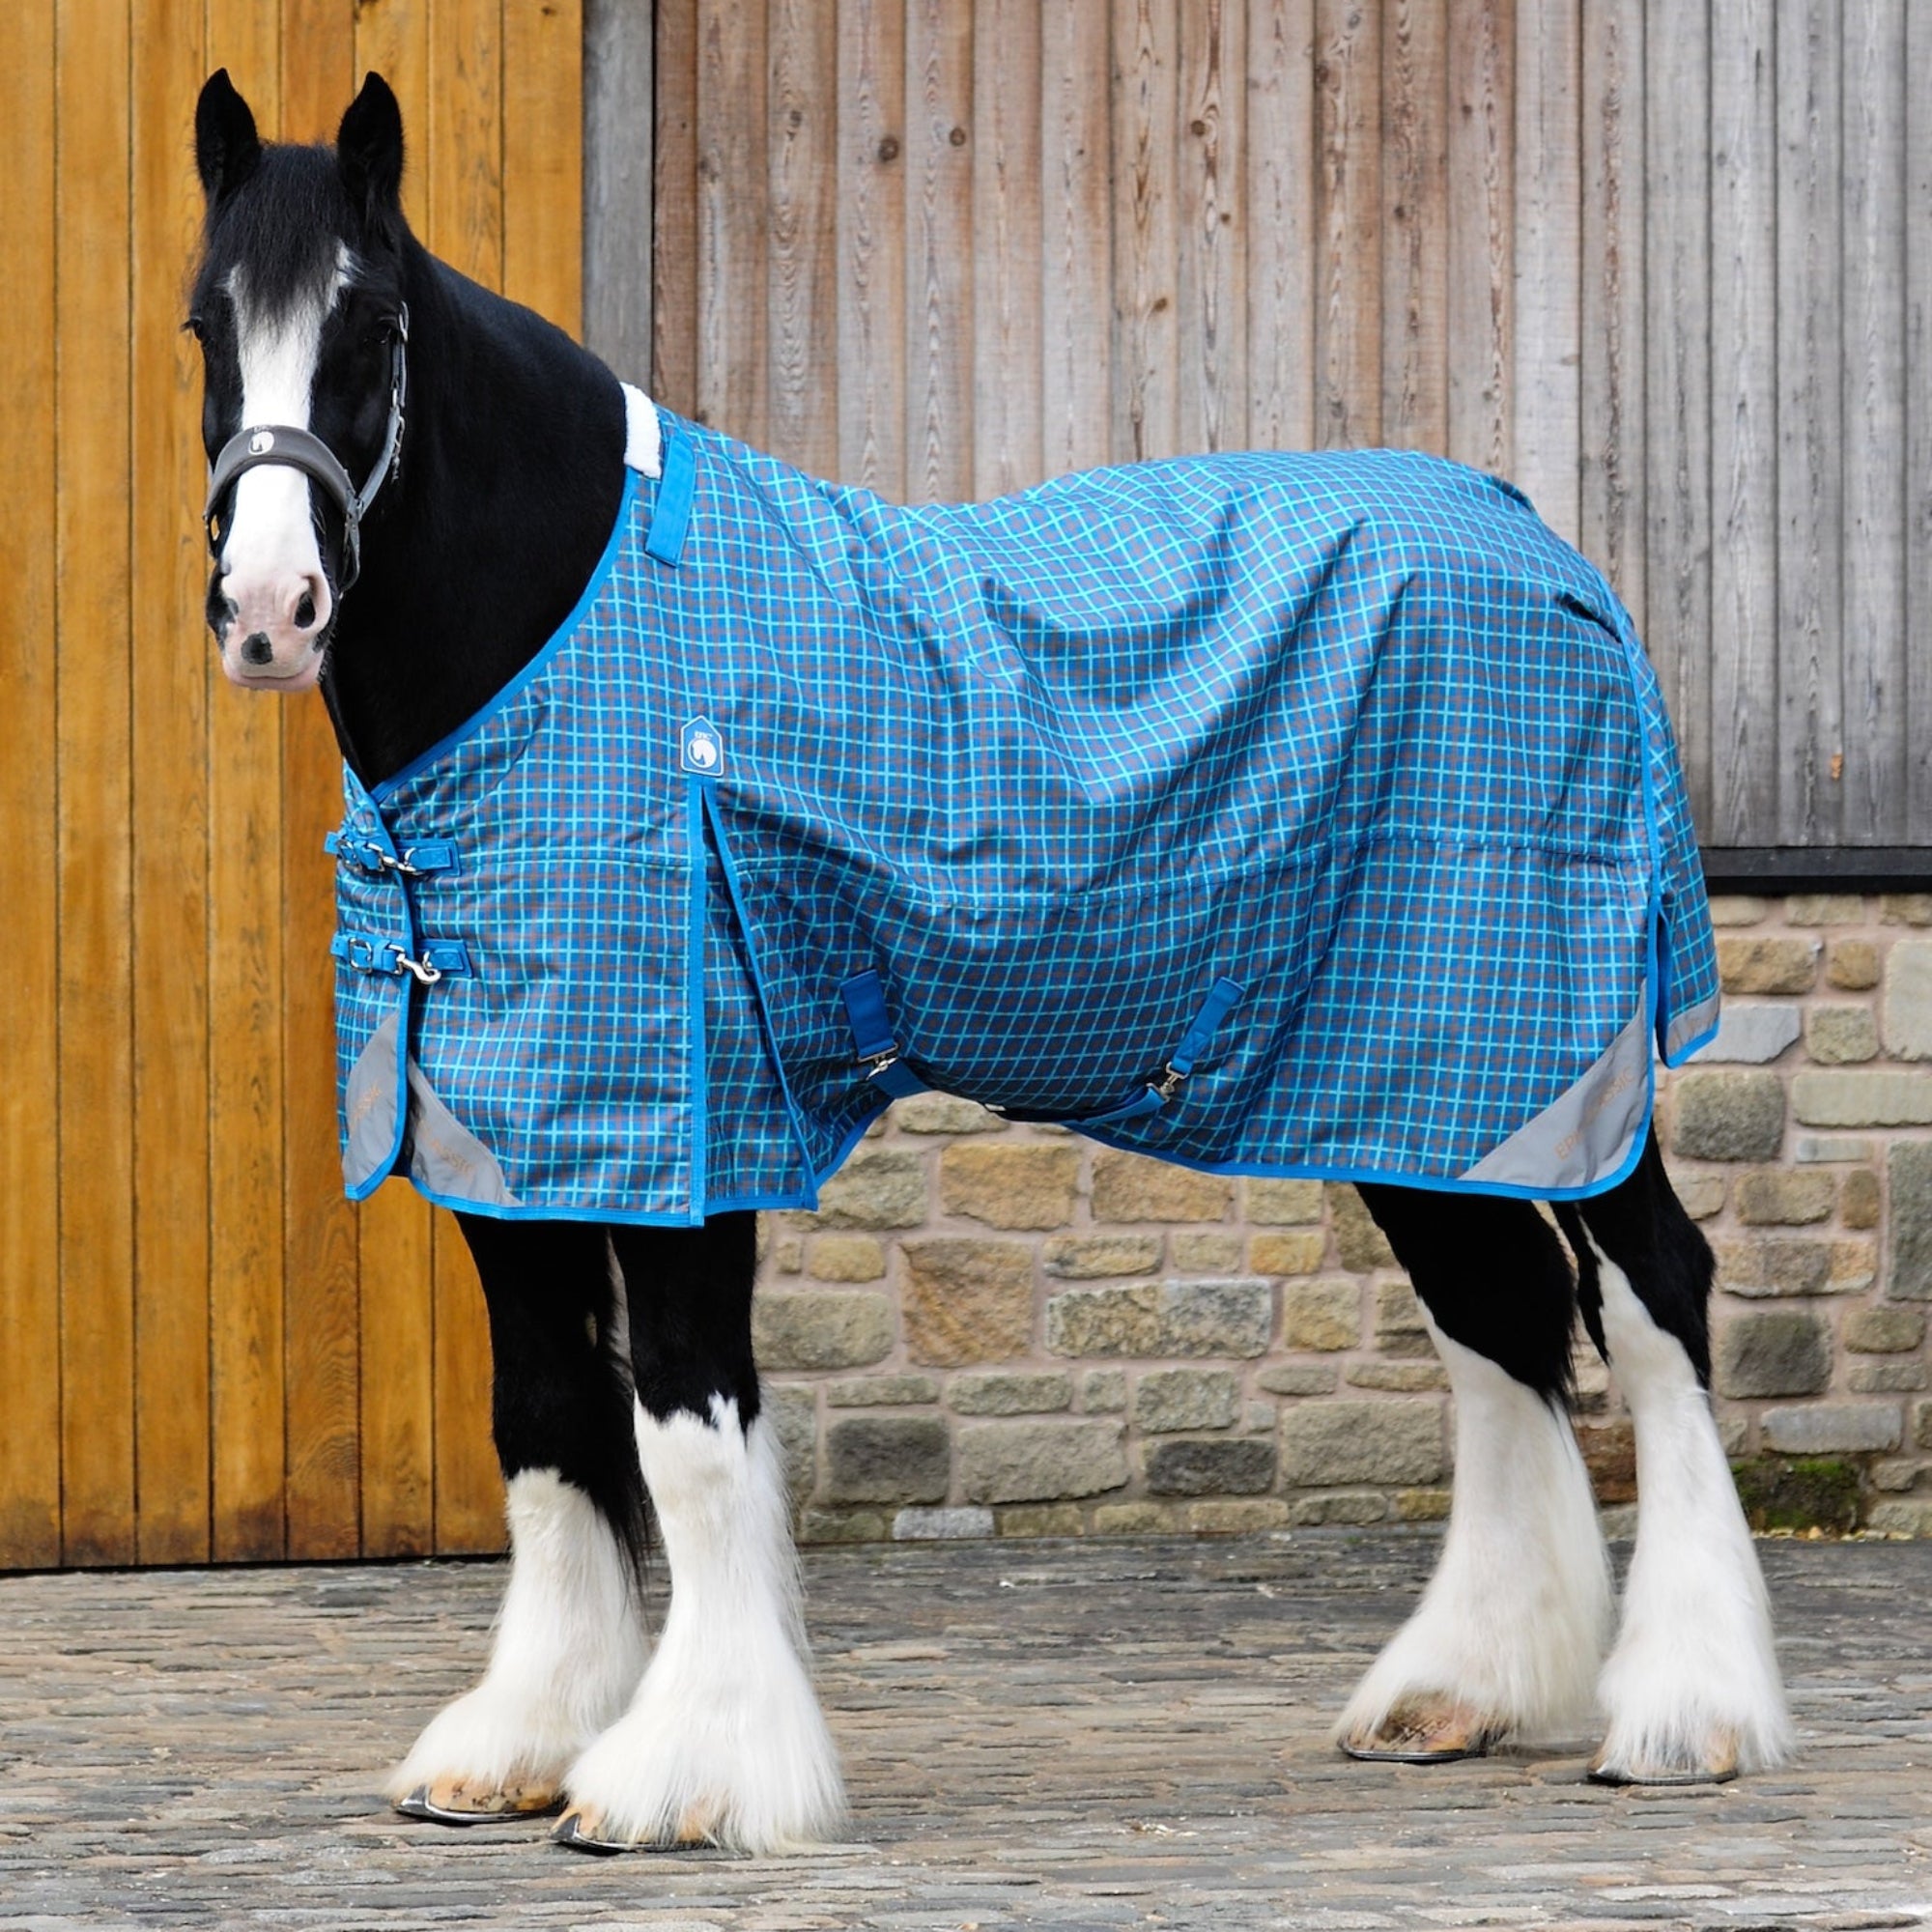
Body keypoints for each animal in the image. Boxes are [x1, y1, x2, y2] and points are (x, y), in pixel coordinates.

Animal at [187, 67, 1792, 1854]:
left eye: (371, 325)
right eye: (205, 324)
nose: (269, 608)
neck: (571, 644)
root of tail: (1548, 556)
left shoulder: (699, 1131)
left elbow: (687, 1428)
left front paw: (691, 1775)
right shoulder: (506, 1132)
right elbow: (546, 1422)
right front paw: (522, 1740)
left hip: (1558, 1060)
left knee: (1652, 1296)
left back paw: (1684, 1714)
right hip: (1418, 1082)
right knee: (1500, 1318)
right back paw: (1466, 1690)